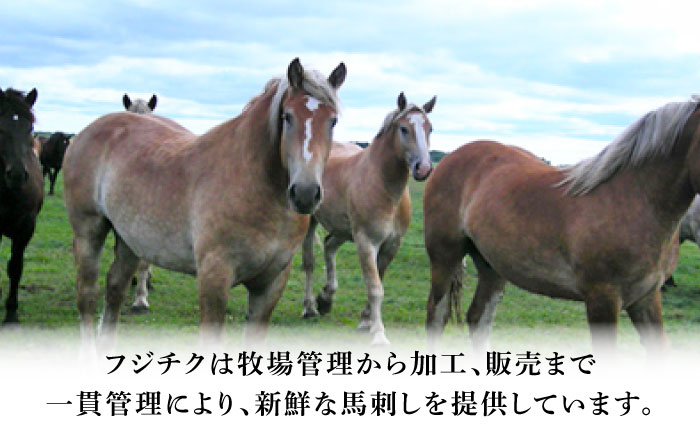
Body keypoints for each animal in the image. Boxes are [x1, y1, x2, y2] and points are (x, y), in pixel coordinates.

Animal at [63, 58, 346, 350]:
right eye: (287, 117)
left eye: (333, 121)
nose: (305, 193)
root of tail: (86, 133)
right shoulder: (214, 278)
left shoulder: (270, 284)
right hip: (89, 231)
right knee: (87, 295)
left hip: (130, 239)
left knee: (115, 288)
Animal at [301, 92, 435, 345]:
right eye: (404, 129)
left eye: (429, 128)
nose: (423, 169)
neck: (383, 186)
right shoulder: (366, 242)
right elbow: (375, 288)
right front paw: (379, 334)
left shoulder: (391, 245)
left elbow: (378, 280)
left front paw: (365, 322)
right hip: (311, 223)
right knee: (309, 263)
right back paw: (310, 308)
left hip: (343, 230)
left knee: (329, 246)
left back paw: (326, 299)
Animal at [424, 96, 700, 354]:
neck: (633, 199)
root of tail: (449, 159)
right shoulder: (602, 299)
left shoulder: (646, 297)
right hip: (445, 257)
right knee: (437, 316)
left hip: (492, 267)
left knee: (478, 318)